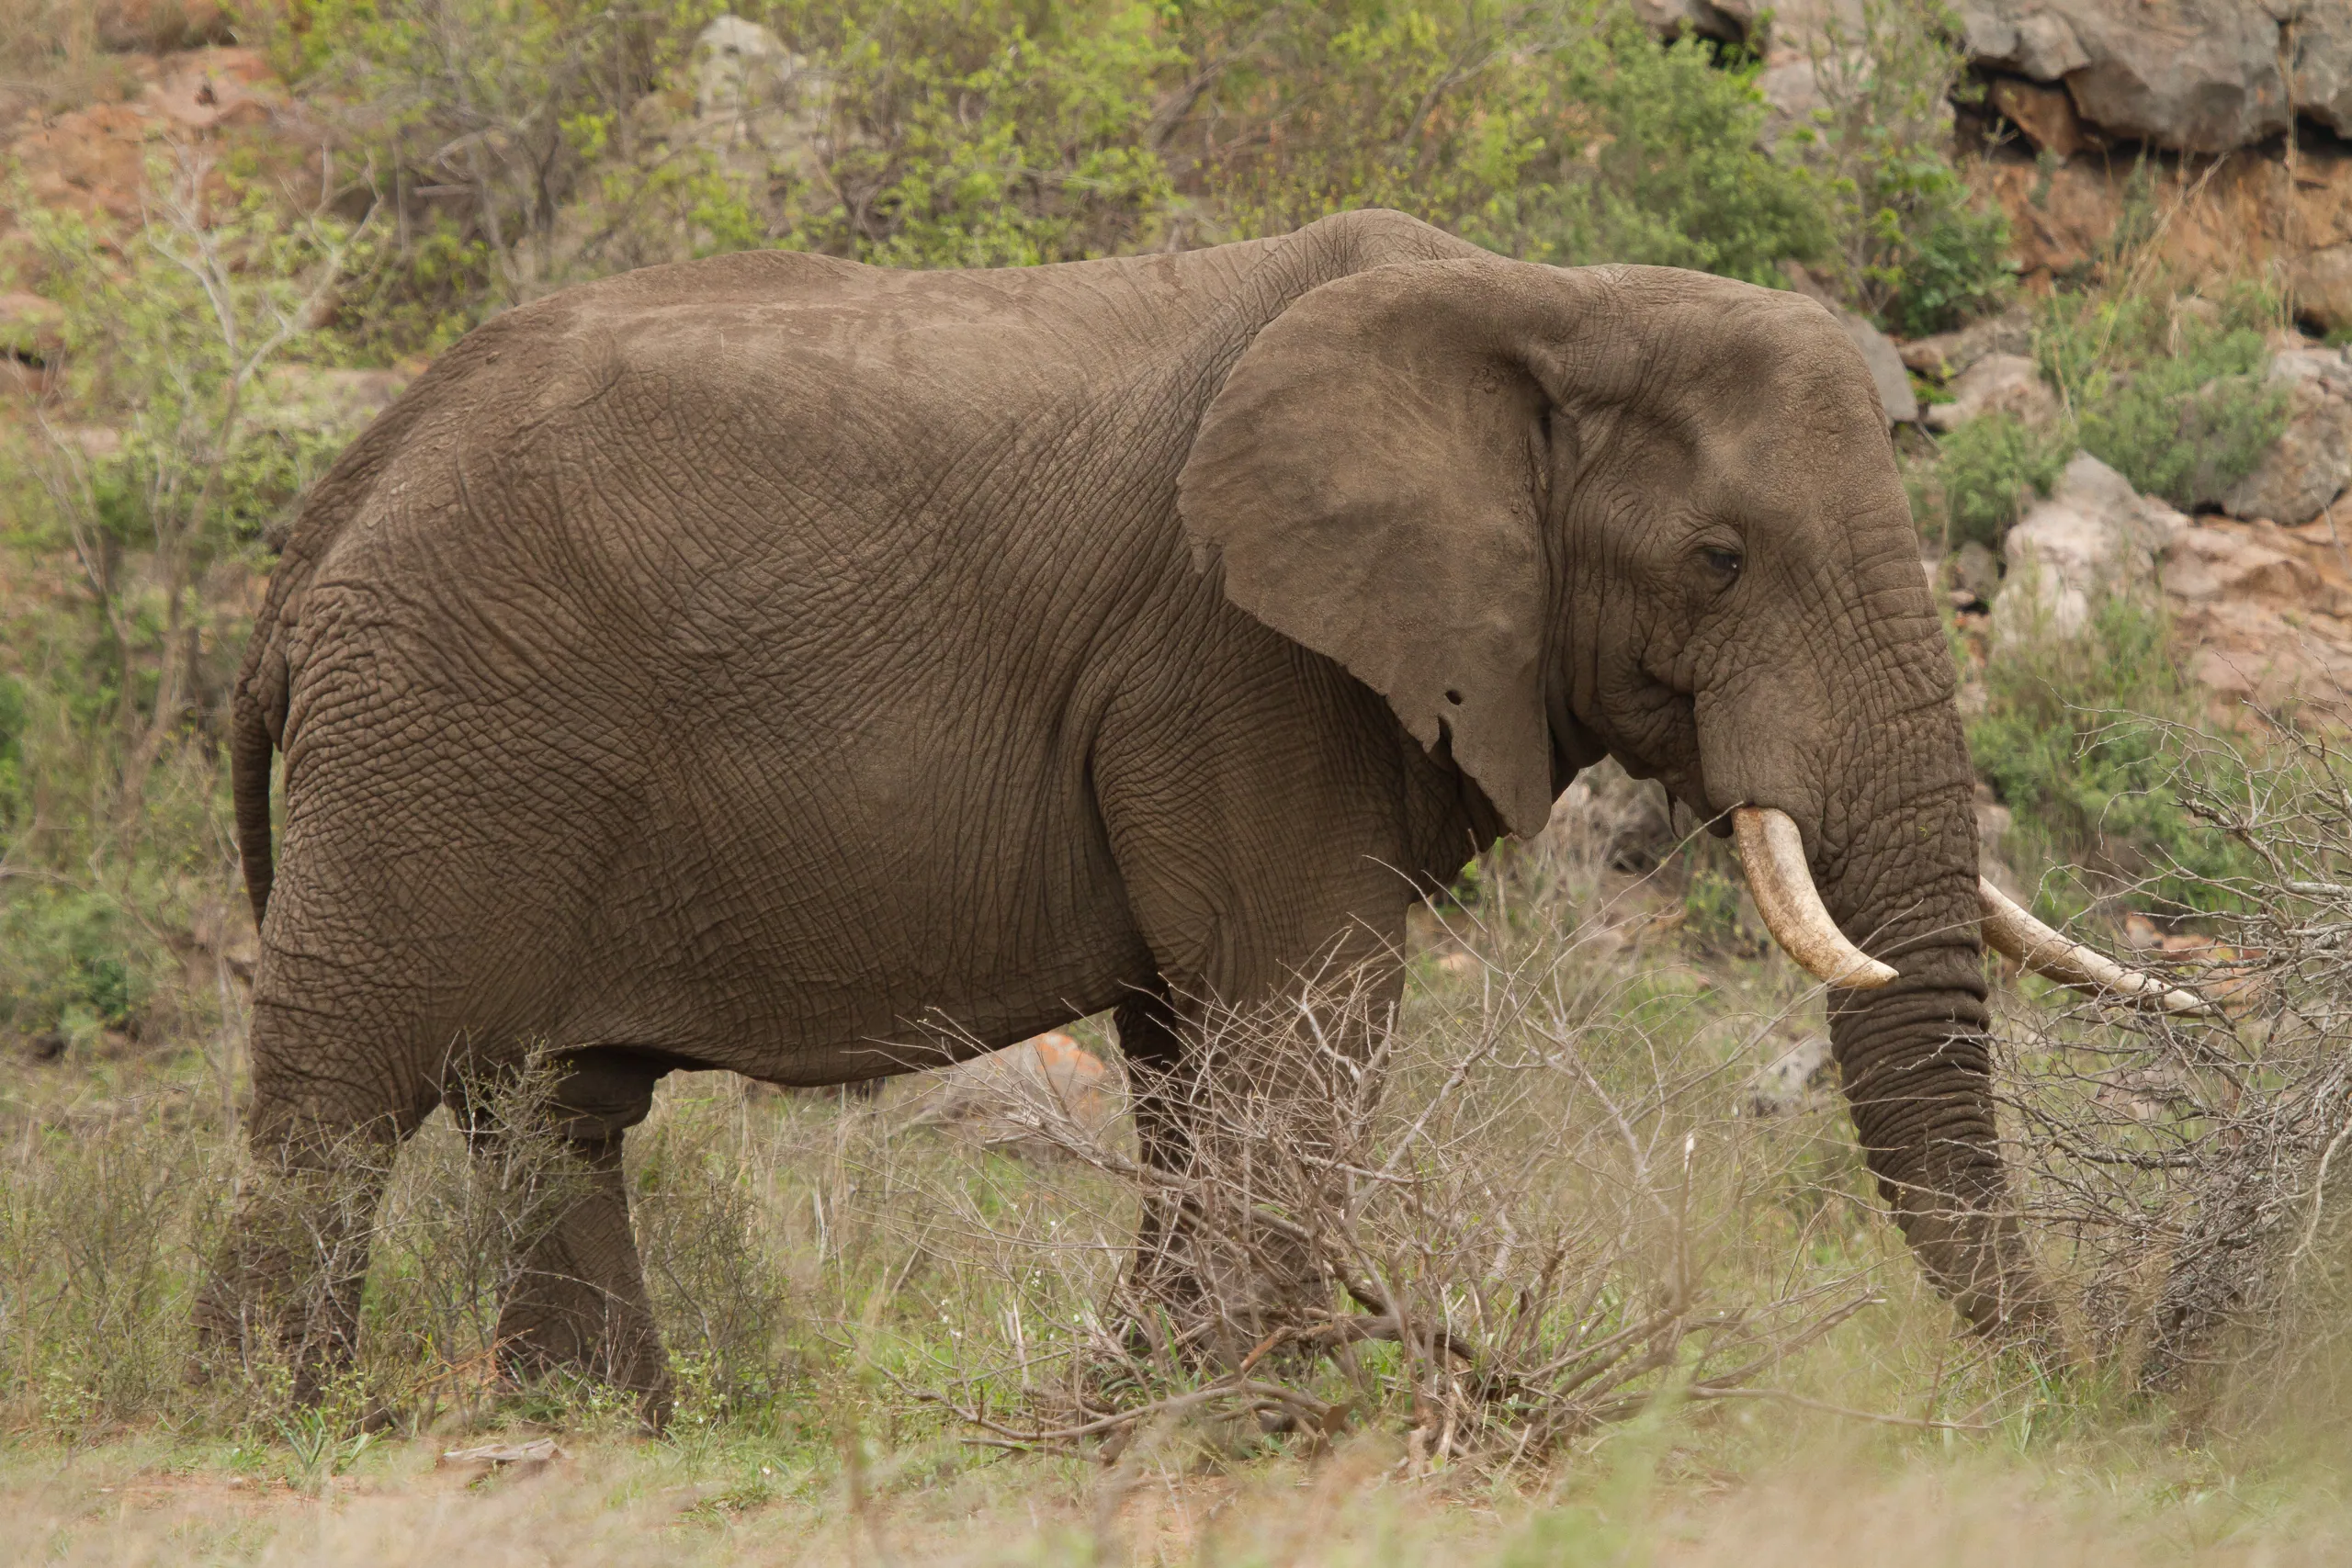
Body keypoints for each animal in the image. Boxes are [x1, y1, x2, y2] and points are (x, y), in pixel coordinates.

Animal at [201, 207, 2174, 1415]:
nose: (2097, 1390)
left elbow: (1190, 1049)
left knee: (551, 1109)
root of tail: (328, 514)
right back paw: (286, 1418)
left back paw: (612, 1426)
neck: (1547, 295)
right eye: (1719, 558)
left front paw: (1143, 1399)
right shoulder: (1236, 658)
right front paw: (1260, 1410)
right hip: (442, 730)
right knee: (343, 1088)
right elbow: (1302, 1009)